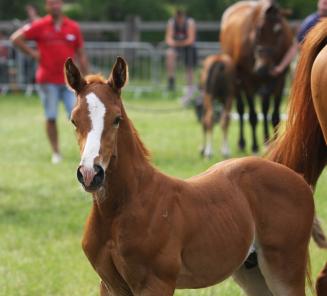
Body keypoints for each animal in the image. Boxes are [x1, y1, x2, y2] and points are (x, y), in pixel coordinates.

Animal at [64, 56, 316, 294]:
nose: (90, 174)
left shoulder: (156, 283)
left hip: (285, 270)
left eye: (117, 119)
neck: (121, 207)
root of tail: (299, 179)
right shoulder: (109, 285)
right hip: (252, 273)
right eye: (74, 120)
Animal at [222, 0, 294, 153]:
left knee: (265, 108)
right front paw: (254, 146)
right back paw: (242, 142)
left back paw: (266, 140)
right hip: (238, 82)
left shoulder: (279, 79)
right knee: (242, 109)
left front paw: (273, 143)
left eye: (279, 31)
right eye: (259, 30)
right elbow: (253, 116)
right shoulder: (248, 80)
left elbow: (275, 116)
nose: (263, 68)